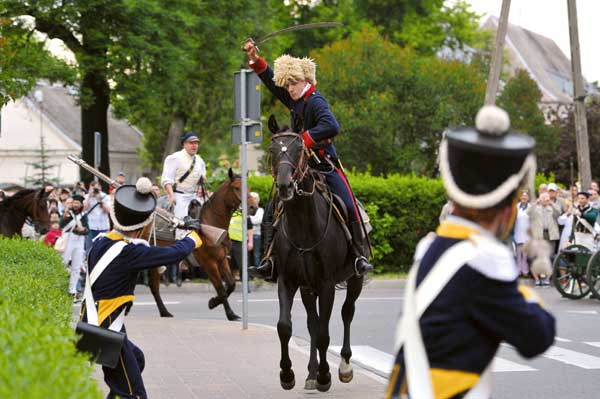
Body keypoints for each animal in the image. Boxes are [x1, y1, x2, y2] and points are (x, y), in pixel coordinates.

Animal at [145, 170, 258, 322]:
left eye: (249, 187)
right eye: (236, 187)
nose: (253, 207)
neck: (212, 222)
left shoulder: (222, 259)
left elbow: (231, 284)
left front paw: (221, 306)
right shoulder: (209, 263)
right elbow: (221, 289)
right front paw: (223, 309)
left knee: (154, 285)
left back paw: (164, 312)